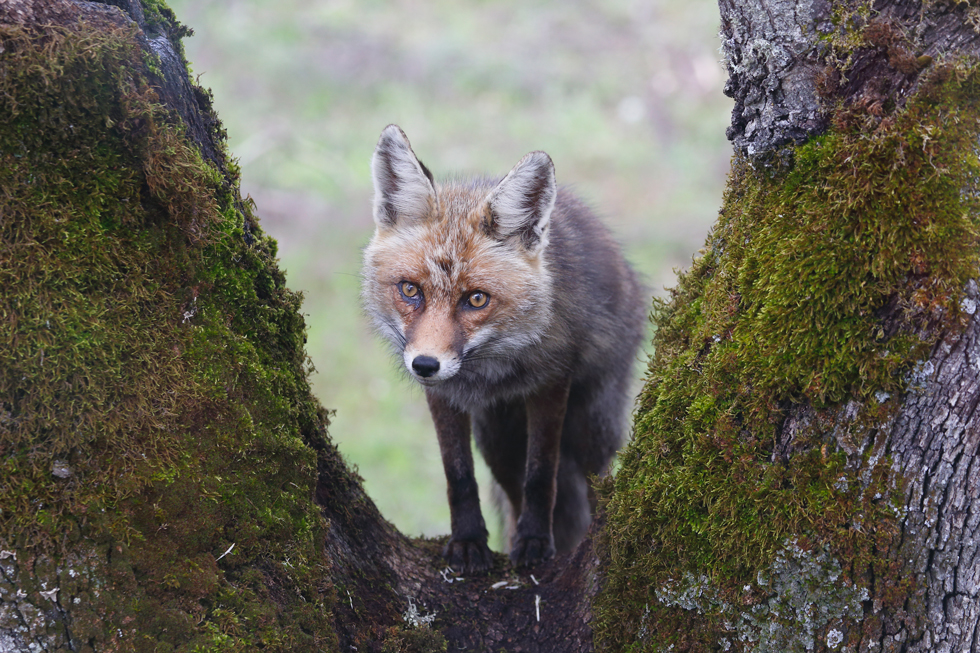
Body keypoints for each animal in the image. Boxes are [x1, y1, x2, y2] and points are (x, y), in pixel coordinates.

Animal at [364, 126, 648, 572]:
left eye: (476, 299)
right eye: (410, 290)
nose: (425, 364)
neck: (488, 372)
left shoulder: (552, 382)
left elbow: (542, 475)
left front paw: (535, 542)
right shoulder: (443, 396)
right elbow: (458, 475)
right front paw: (468, 542)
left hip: (591, 425)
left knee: (592, 480)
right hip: (498, 441)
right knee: (513, 489)